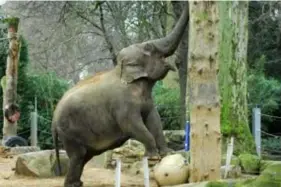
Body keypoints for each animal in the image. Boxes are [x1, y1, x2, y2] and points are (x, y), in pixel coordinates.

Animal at [52, 1, 188, 187]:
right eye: (149, 47)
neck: (122, 71)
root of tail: (53, 118)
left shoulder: (147, 100)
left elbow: (155, 120)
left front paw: (167, 153)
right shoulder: (122, 104)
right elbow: (132, 125)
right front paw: (152, 157)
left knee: (85, 156)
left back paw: (76, 184)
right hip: (69, 131)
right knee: (78, 156)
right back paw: (73, 184)